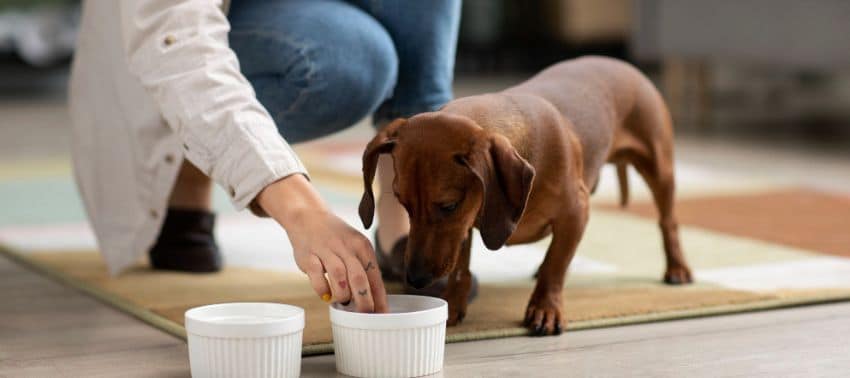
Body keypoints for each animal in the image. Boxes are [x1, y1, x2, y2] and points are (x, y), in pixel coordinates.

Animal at [356, 55, 688, 334]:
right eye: (402, 202)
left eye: (449, 205)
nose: (415, 279)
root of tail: (621, 62)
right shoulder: (466, 226)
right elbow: (462, 268)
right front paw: (453, 302)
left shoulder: (576, 211)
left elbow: (555, 266)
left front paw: (545, 308)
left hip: (659, 168)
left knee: (668, 222)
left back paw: (678, 268)